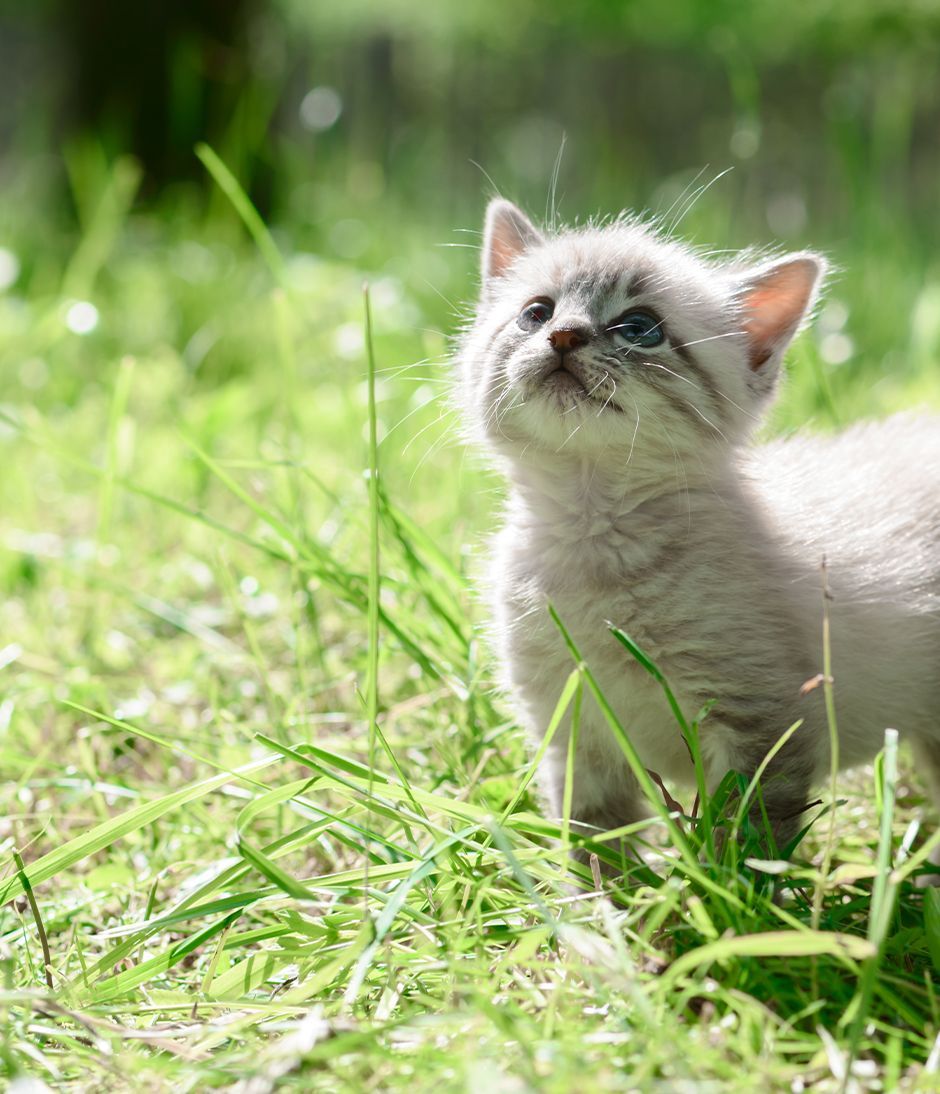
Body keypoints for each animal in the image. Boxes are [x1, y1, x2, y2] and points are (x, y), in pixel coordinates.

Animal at [457, 199, 940, 862]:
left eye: (639, 327)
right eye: (537, 312)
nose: (563, 335)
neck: (592, 531)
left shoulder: (762, 723)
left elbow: (746, 844)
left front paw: (733, 890)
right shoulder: (574, 731)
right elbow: (594, 844)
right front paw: (604, 894)